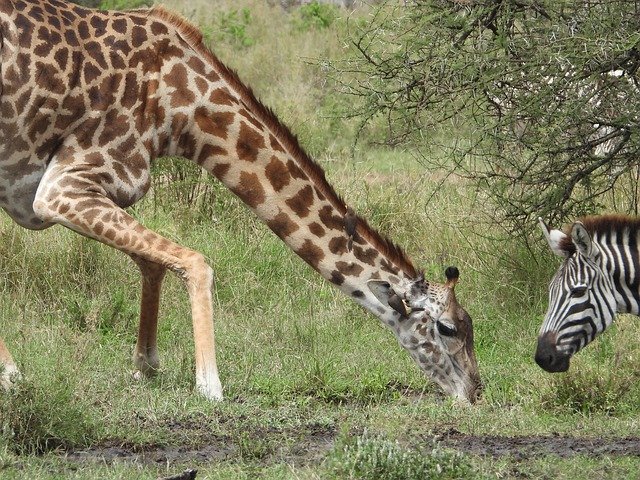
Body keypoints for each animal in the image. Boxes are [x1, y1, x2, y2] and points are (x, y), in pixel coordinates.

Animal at [0, 0, 480, 402]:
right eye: (447, 327)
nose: (475, 392)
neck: (179, 108)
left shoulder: (83, 191)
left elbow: (154, 264)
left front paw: (146, 365)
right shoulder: (62, 188)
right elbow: (195, 261)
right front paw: (209, 385)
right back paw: (13, 375)